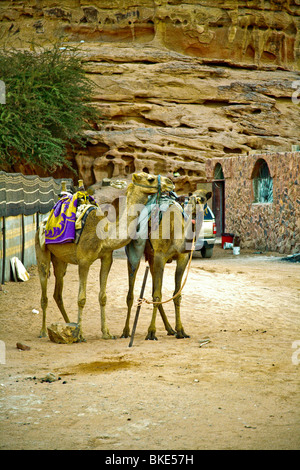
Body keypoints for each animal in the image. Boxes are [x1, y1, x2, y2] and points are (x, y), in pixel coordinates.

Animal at [34, 171, 173, 340]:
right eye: (150, 178)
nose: (170, 182)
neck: (105, 234)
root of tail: (43, 222)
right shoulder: (84, 261)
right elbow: (81, 298)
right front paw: (81, 335)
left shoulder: (107, 258)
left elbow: (103, 297)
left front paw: (106, 333)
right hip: (41, 251)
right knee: (44, 291)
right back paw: (43, 331)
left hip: (60, 260)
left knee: (58, 294)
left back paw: (69, 326)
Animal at [121, 189, 211, 340]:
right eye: (190, 198)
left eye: (203, 199)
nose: (193, 207)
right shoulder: (159, 256)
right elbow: (157, 295)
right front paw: (151, 332)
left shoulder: (182, 258)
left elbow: (176, 294)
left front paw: (181, 331)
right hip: (136, 252)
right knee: (131, 293)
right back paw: (126, 331)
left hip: (151, 259)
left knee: (154, 290)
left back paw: (170, 329)